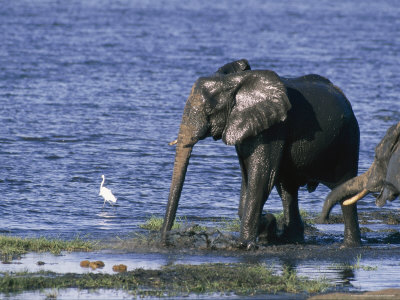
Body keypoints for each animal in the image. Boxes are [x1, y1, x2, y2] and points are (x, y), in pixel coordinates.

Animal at [161, 59, 360, 248]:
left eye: (210, 111)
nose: (164, 242)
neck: (234, 82)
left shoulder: (274, 128)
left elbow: (261, 177)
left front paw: (245, 244)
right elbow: (247, 176)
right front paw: (268, 225)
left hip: (348, 140)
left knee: (345, 188)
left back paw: (348, 246)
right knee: (287, 190)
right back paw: (290, 239)